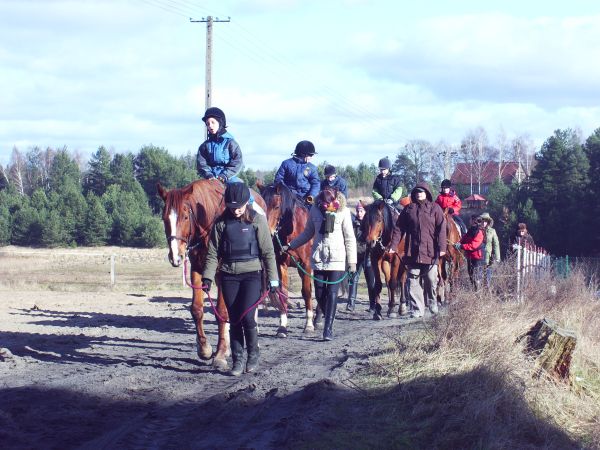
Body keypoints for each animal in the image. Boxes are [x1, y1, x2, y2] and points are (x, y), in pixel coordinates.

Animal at [156, 178, 268, 370]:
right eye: (164, 219)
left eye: (185, 217)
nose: (176, 256)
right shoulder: (197, 270)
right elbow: (196, 309)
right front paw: (205, 349)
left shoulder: (221, 274)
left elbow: (222, 311)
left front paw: (221, 353)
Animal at [258, 181, 314, 336]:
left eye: (276, 206)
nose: (267, 232)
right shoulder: (281, 264)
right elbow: (283, 292)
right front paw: (282, 326)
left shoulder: (306, 264)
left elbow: (307, 291)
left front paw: (309, 324)